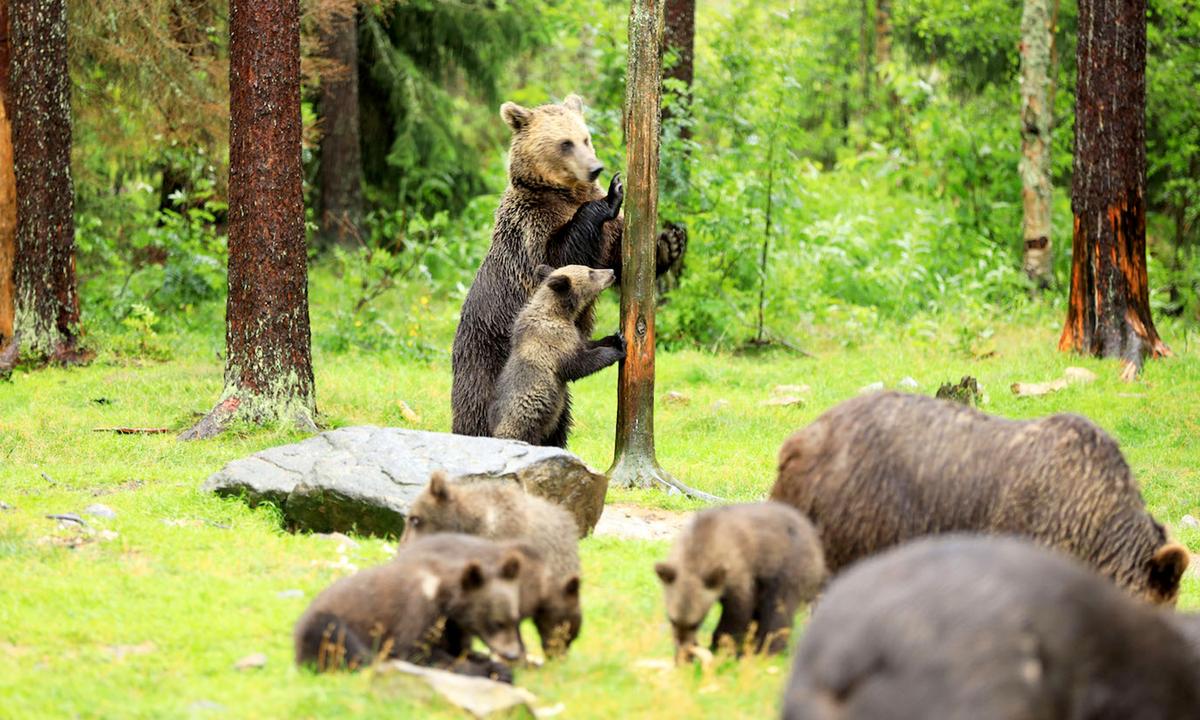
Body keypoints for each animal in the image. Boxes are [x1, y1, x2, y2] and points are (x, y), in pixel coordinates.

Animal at [293, 534, 524, 681]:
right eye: (497, 622)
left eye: (515, 619)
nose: (513, 654)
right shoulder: (416, 611)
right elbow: (417, 652)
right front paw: (491, 670)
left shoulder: (452, 627)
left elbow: (459, 649)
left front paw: (493, 665)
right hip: (327, 623)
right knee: (343, 644)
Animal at [488, 264, 624, 446]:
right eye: (591, 272)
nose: (612, 272)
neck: (559, 313)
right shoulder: (553, 343)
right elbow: (578, 365)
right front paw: (617, 350)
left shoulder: (573, 336)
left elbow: (586, 345)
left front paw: (615, 338)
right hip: (525, 422)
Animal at [653, 502, 826, 661]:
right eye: (672, 619)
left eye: (695, 623)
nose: (683, 646)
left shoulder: (737, 570)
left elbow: (738, 612)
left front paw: (720, 649)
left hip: (789, 569)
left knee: (778, 609)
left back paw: (766, 652)